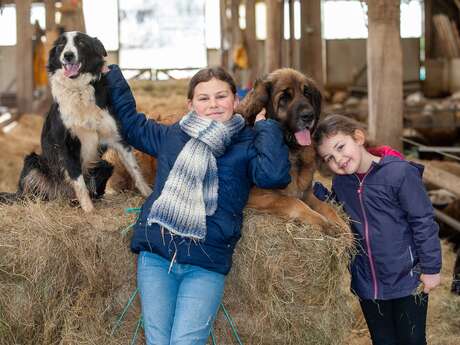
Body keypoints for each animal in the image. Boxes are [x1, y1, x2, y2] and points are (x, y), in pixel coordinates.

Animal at [235, 68, 346, 234]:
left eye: (307, 93)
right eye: (284, 97)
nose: (309, 116)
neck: (291, 152)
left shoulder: (307, 194)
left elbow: (326, 207)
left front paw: (345, 228)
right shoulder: (256, 196)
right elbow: (292, 201)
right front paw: (324, 223)